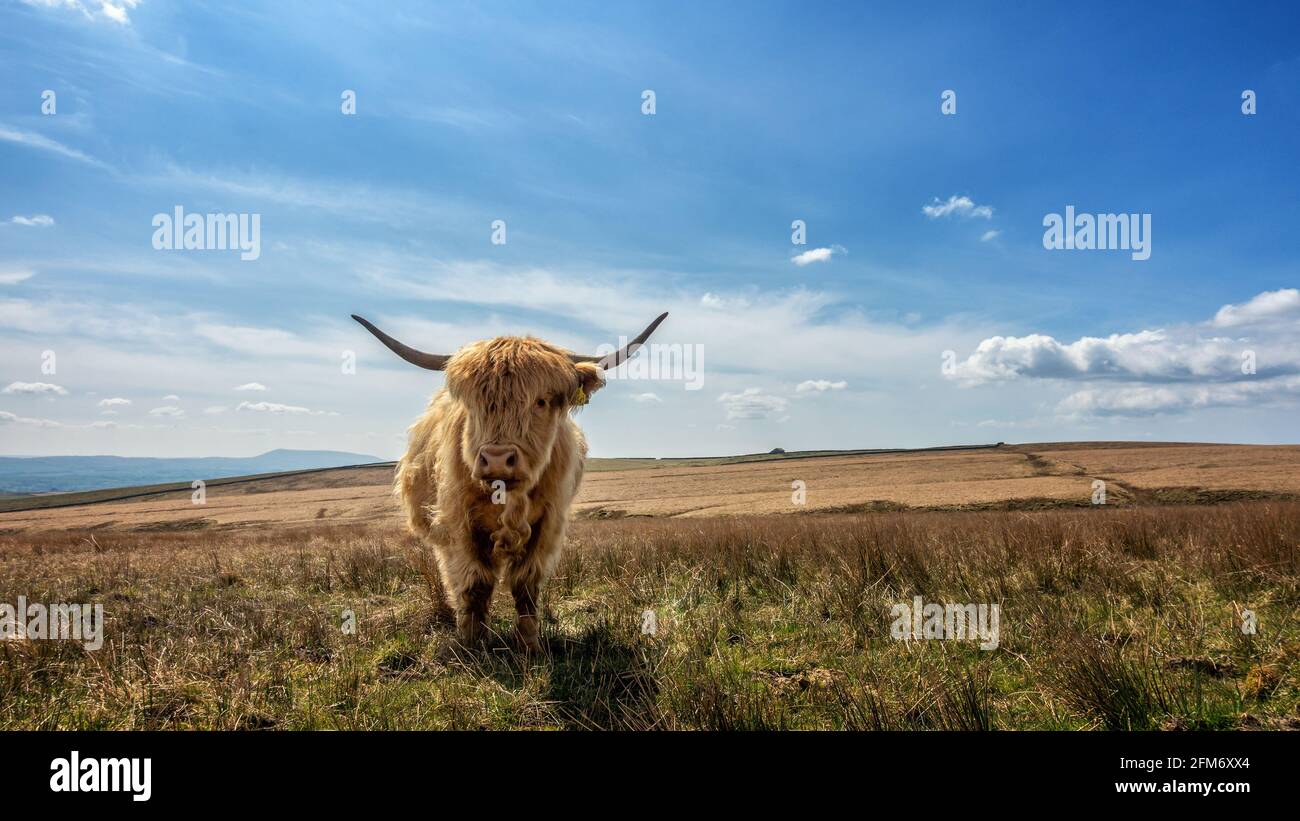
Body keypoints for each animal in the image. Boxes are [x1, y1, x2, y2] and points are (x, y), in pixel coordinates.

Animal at [351, 310, 665, 652]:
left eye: (541, 401)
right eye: (475, 403)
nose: (498, 459)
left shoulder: (548, 523)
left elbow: (525, 584)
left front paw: (529, 646)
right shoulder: (460, 522)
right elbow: (475, 582)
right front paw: (472, 643)